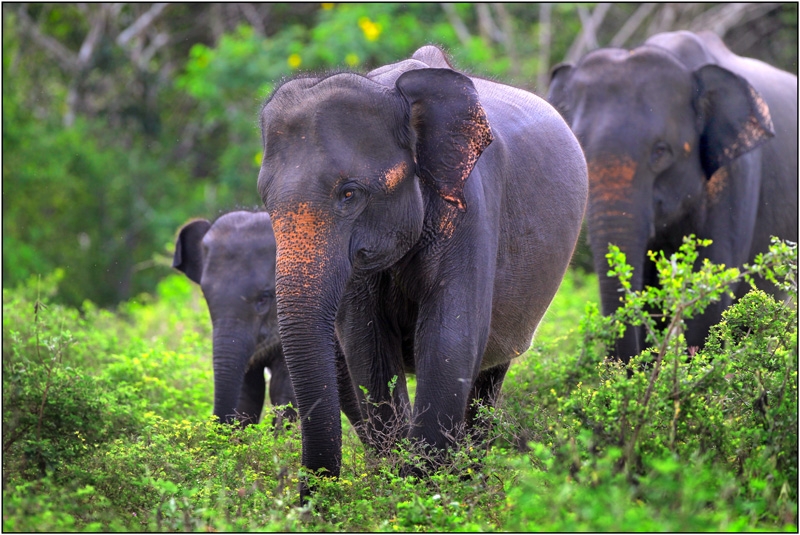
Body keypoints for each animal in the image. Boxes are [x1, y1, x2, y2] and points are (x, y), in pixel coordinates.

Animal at [256, 43, 588, 498]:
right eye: (265, 201)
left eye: (349, 194)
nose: (309, 501)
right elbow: (367, 347)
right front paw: (399, 487)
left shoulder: (472, 204)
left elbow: (450, 339)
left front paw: (421, 492)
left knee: (488, 379)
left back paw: (471, 484)